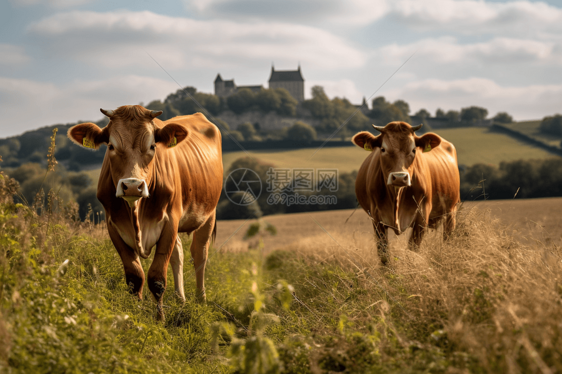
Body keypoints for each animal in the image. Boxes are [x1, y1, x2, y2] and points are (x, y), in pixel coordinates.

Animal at [67, 105, 221, 318]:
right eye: (111, 146)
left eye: (152, 146)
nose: (132, 186)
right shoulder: (113, 225)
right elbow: (135, 276)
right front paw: (136, 314)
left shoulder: (170, 221)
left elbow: (157, 278)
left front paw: (160, 319)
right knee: (179, 253)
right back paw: (180, 299)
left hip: (209, 213)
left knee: (199, 254)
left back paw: (200, 301)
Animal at [352, 122, 458, 262]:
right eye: (383, 149)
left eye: (413, 150)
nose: (399, 177)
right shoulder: (376, 219)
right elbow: (384, 255)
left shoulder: (421, 218)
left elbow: (412, 251)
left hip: (451, 211)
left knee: (448, 240)